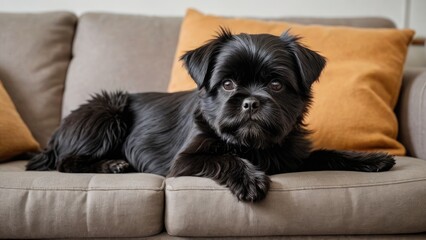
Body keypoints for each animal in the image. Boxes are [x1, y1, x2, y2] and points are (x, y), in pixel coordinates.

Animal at [26, 29, 394, 202]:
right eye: (228, 84)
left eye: (276, 85)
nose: (250, 102)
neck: (253, 145)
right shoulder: (186, 160)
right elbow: (225, 156)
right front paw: (249, 179)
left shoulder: (292, 158)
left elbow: (326, 152)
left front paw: (370, 159)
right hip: (108, 112)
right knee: (67, 162)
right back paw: (112, 165)